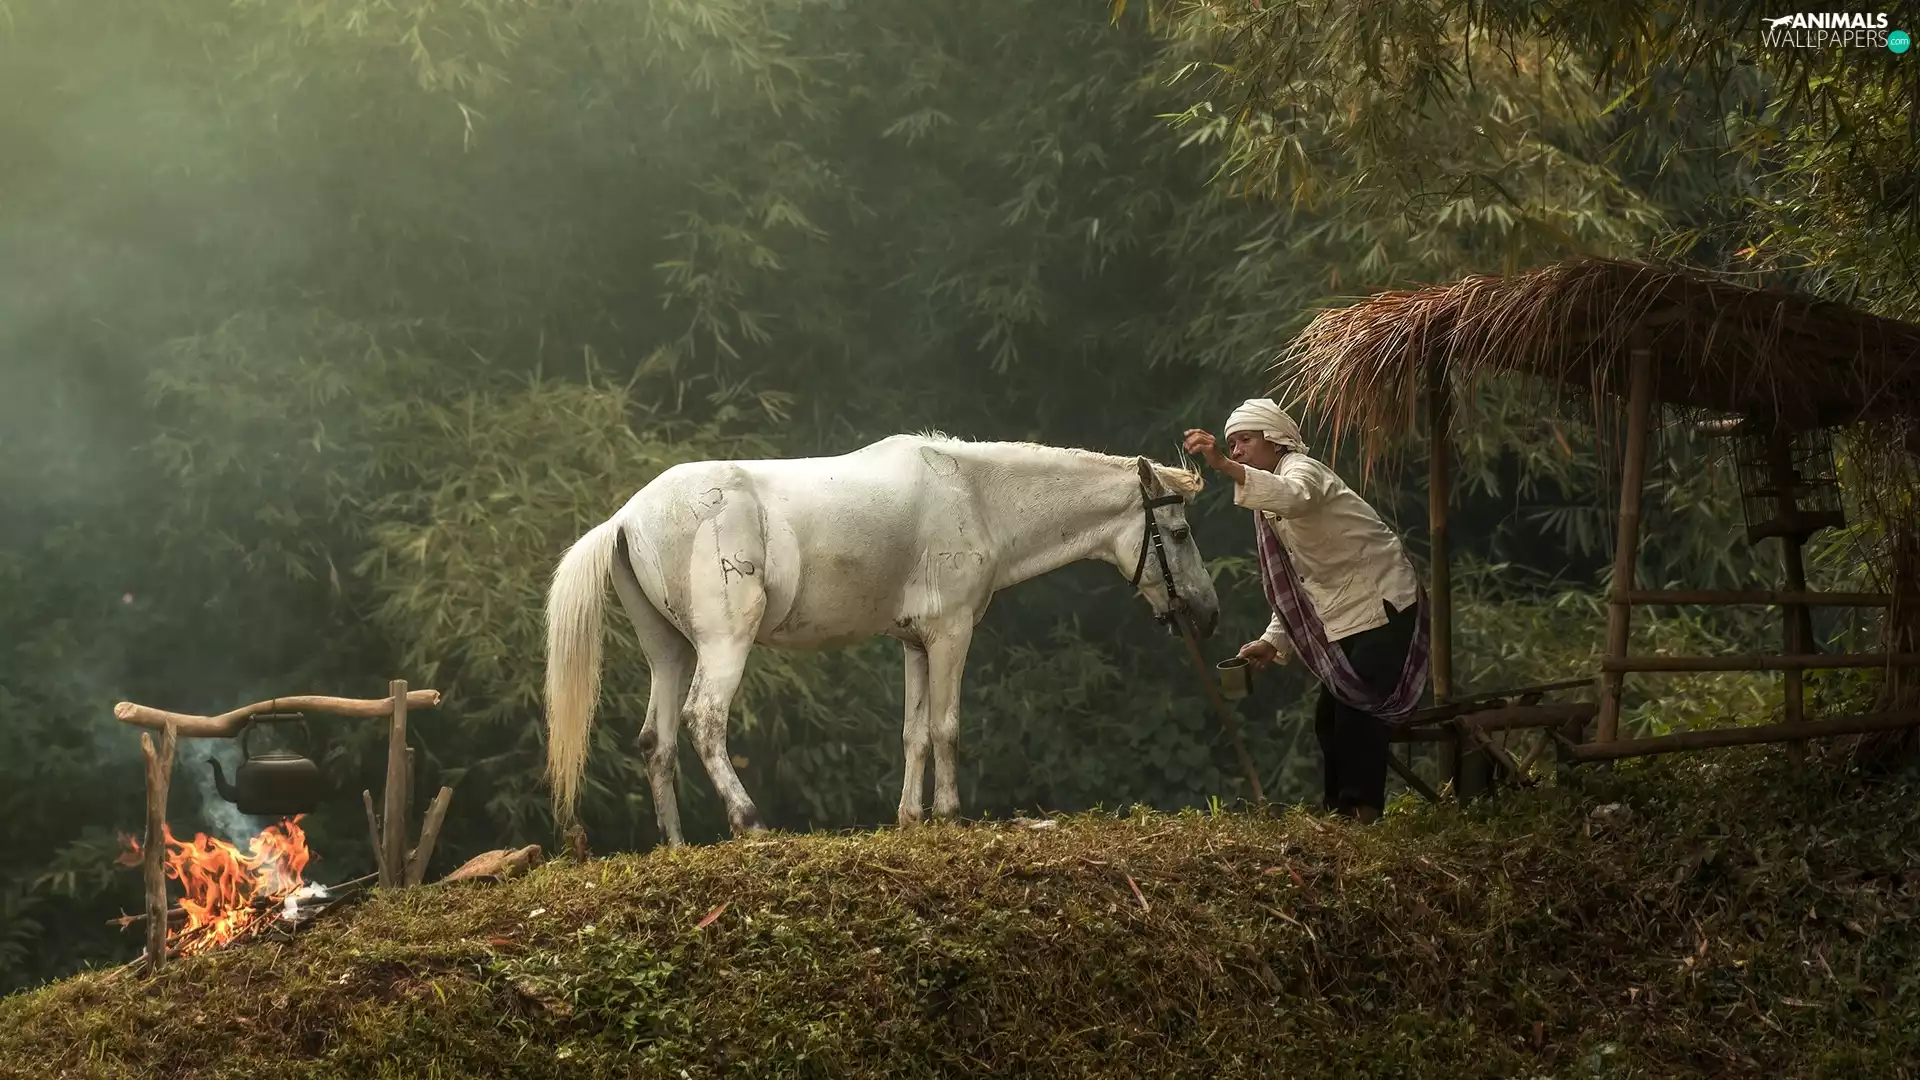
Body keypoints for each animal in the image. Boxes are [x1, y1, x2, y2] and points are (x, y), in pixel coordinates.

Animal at [543, 433, 1220, 845]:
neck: (975, 495)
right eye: (1179, 532)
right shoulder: (950, 635)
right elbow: (946, 728)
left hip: (670, 651)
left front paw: (911, 819)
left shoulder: (915, 645)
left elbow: (914, 734)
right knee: (704, 720)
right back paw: (750, 822)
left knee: (655, 741)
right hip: (722, 645)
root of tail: (627, 515)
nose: (1206, 615)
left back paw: (678, 846)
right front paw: (948, 816)